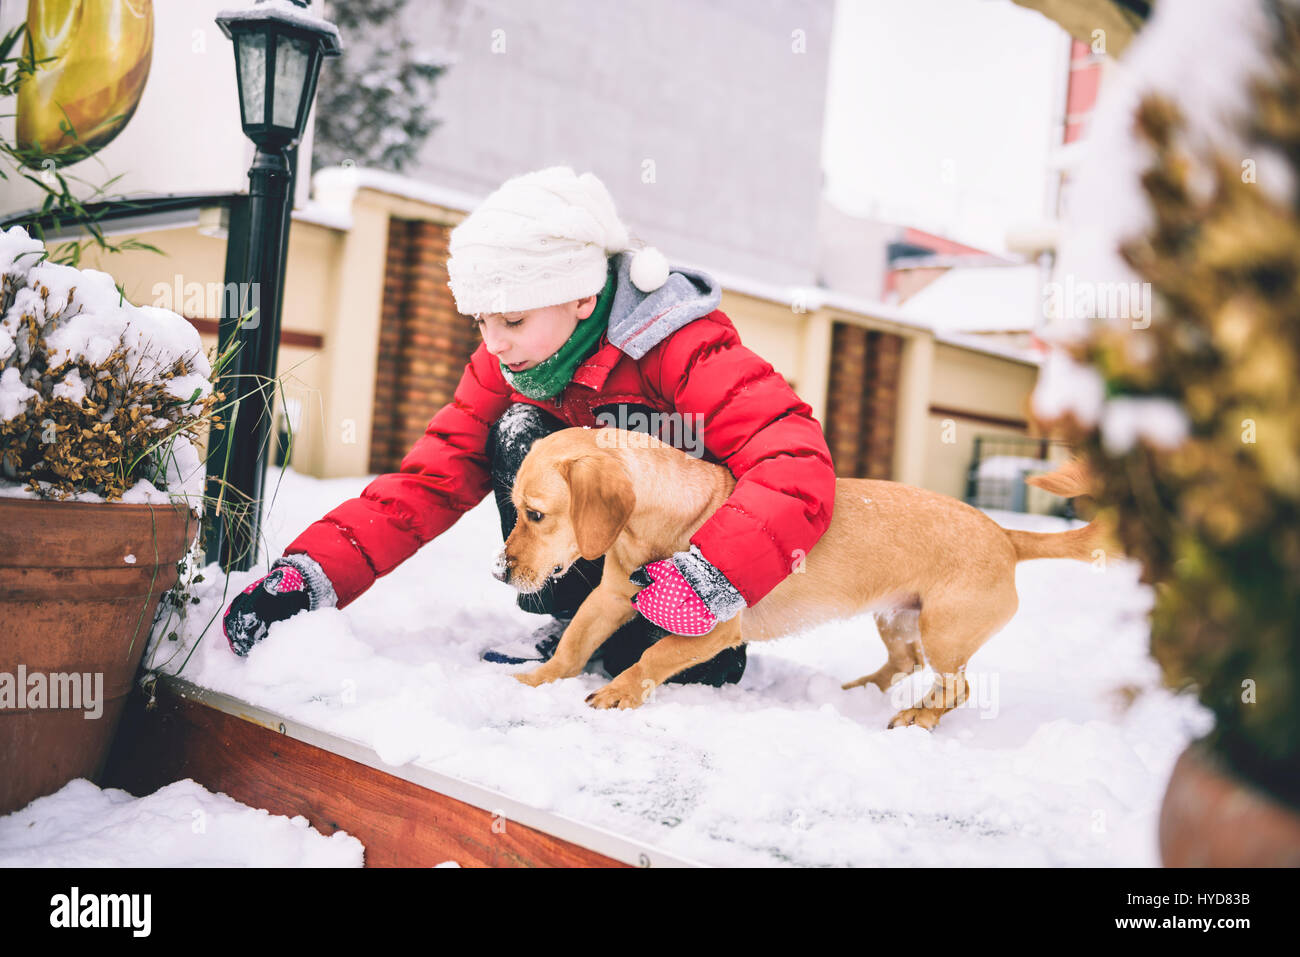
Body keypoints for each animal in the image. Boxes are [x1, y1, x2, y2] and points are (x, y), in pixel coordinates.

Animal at [496, 421, 1107, 728]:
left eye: (536, 514)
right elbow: (572, 647)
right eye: (517, 507)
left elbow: (653, 656)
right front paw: (539, 681)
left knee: (956, 687)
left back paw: (920, 716)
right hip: (898, 620)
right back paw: (861, 690)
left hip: (945, 632)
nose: (499, 572)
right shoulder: (609, 599)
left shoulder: (713, 628)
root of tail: (1006, 535)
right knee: (905, 663)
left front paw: (619, 693)